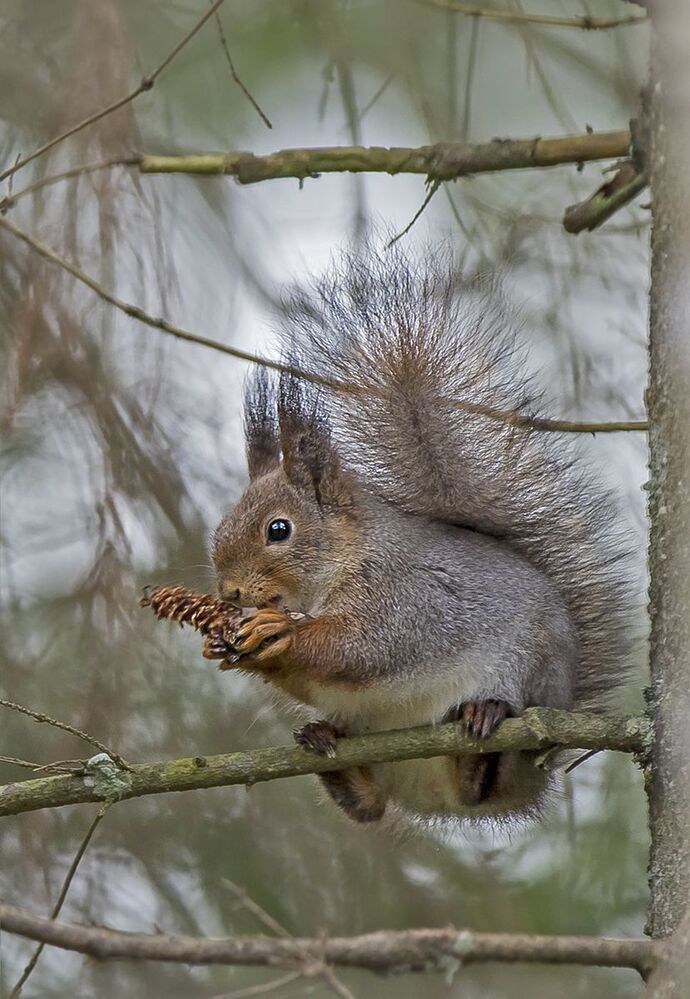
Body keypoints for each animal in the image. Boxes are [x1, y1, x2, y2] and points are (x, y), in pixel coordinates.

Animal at [211, 249, 635, 825]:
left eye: (279, 529)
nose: (229, 592)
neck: (344, 558)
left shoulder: (405, 596)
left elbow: (364, 648)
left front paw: (280, 634)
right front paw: (233, 643)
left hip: (531, 689)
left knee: (489, 774)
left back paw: (483, 727)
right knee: (369, 806)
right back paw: (327, 747)